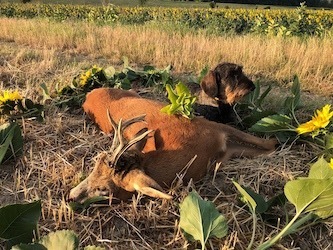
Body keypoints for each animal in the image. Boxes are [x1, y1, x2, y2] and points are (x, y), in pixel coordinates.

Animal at [68, 87, 276, 202]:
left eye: (103, 190)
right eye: (95, 165)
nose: (71, 195)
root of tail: (88, 95)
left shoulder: (216, 128)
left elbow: (266, 144)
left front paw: (276, 141)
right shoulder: (224, 149)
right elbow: (263, 148)